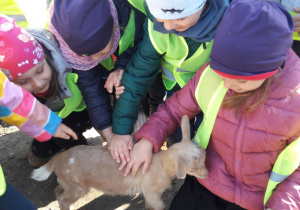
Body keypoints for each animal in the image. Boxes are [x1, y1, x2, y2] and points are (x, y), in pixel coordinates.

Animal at [31, 115, 209, 210]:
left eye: (205, 157)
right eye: (192, 170)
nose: (207, 175)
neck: (162, 165)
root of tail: (56, 160)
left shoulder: (148, 193)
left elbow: (149, 206)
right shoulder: (152, 191)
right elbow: (158, 206)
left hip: (69, 183)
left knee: (58, 190)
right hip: (77, 187)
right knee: (63, 198)